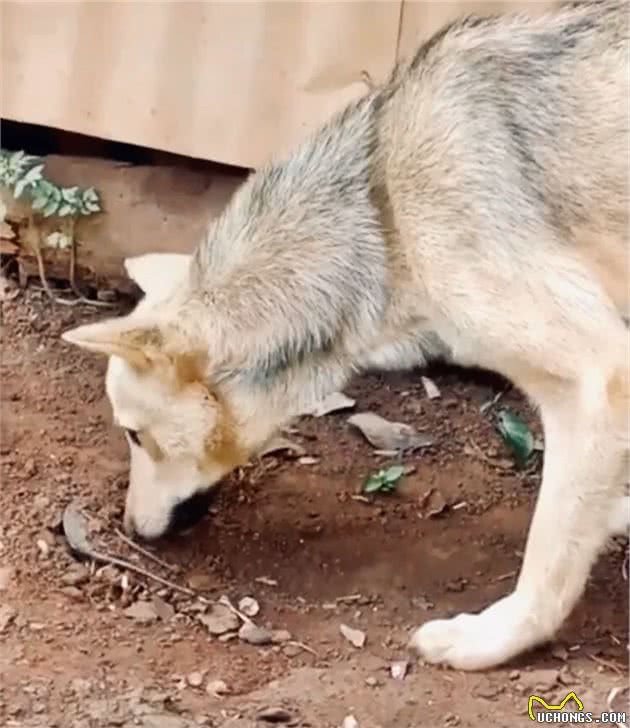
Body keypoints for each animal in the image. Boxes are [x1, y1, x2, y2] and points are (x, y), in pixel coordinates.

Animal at [61, 0, 628, 672]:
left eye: (132, 435)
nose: (127, 530)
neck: (385, 217)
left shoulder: (596, 377)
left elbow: (548, 555)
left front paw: (493, 639)